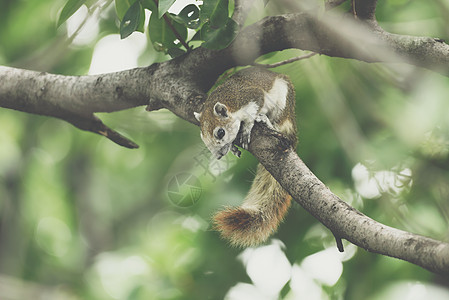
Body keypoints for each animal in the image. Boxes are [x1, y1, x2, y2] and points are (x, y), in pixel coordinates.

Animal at [193, 68, 296, 248]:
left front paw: (247, 127)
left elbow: (253, 111)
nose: (218, 155)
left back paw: (267, 120)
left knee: (279, 122)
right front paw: (233, 146)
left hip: (283, 101)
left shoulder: (252, 96)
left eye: (220, 132)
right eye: (203, 138)